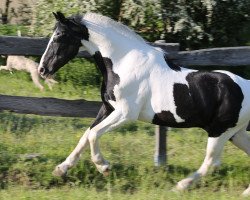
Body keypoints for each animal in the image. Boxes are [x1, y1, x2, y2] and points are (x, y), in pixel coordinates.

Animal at [37, 11, 250, 195]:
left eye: (58, 36)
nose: (42, 70)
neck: (123, 63)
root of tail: (246, 86)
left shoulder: (126, 113)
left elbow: (94, 134)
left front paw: (103, 167)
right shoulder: (108, 108)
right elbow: (86, 135)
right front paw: (61, 169)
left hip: (220, 131)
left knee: (211, 162)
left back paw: (180, 186)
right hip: (235, 133)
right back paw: (244, 192)